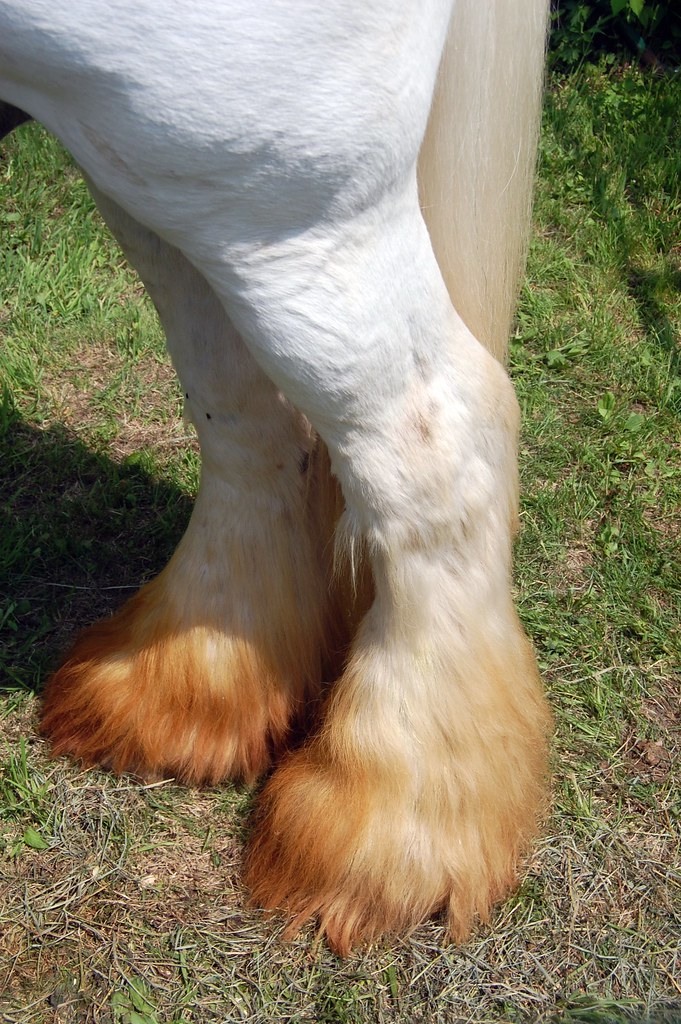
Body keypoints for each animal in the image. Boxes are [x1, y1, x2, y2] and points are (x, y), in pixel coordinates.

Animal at [0, 0, 552, 954]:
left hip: (266, 190)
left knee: (433, 442)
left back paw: (394, 823)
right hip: (168, 176)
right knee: (245, 418)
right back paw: (187, 686)